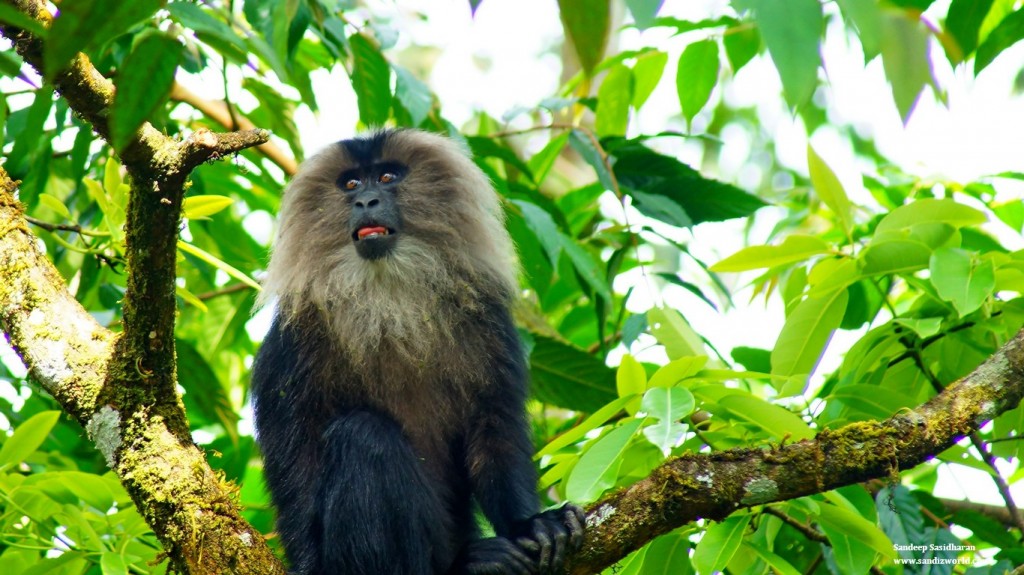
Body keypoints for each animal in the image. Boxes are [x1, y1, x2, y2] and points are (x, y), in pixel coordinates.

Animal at [250, 129, 585, 572]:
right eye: (352, 184)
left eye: (387, 177)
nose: (366, 201)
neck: (387, 293)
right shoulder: (294, 339)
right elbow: (296, 458)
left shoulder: (488, 322)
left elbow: (494, 427)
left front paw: (531, 525)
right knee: (363, 436)